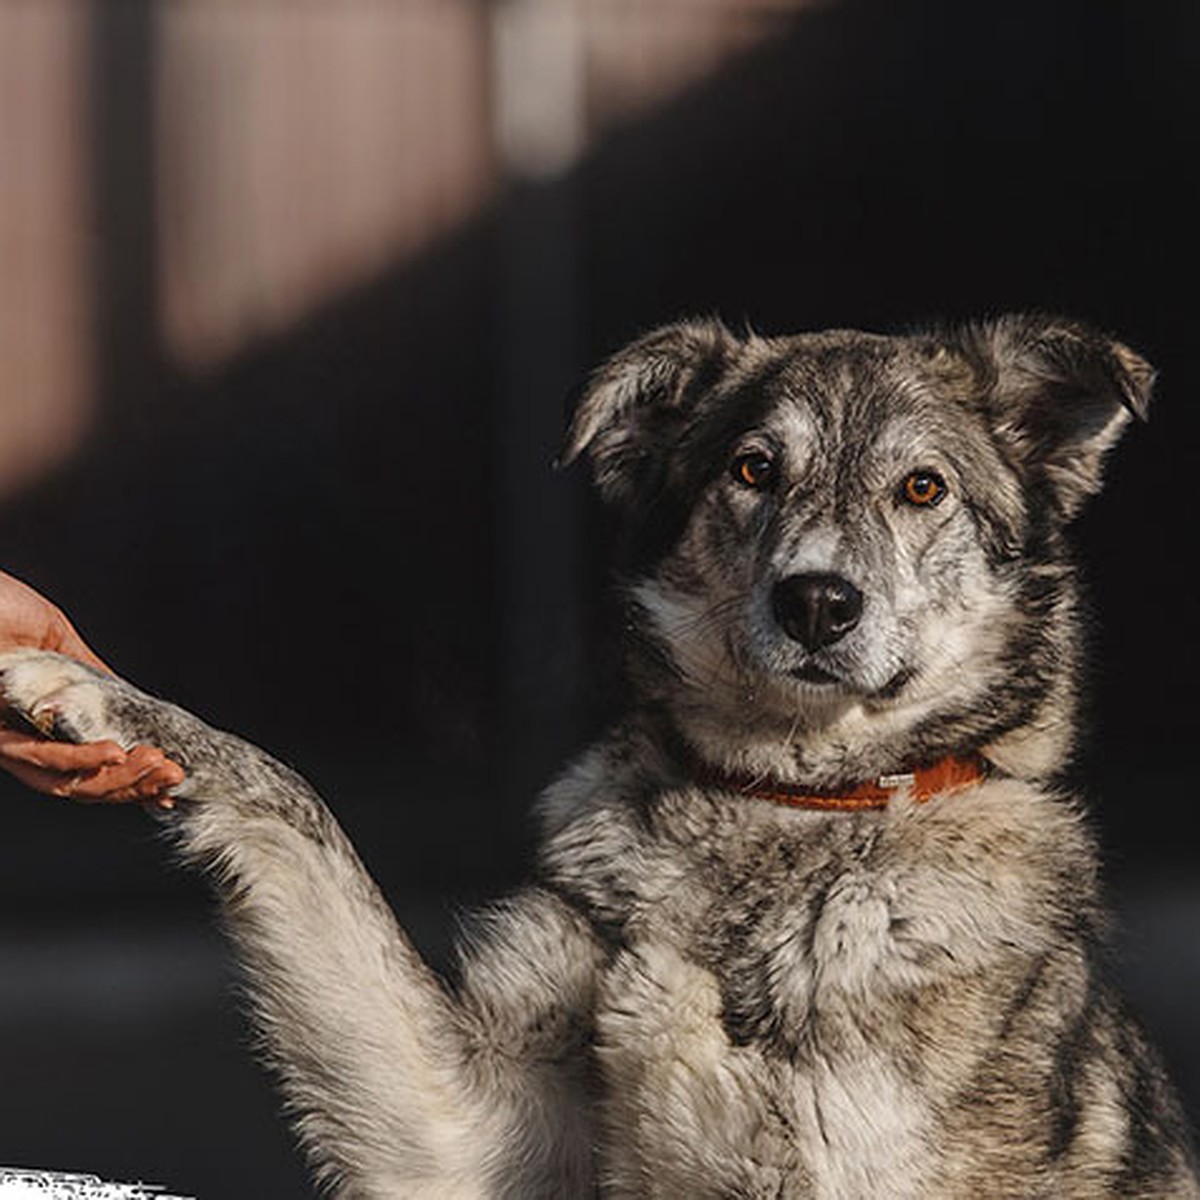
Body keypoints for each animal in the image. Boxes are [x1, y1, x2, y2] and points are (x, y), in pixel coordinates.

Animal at [2, 314, 1200, 1195]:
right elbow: (295, 807)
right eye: (753, 470)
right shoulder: (467, 1132)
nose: (816, 602)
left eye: (923, 489)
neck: (788, 813)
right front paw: (97, 696)